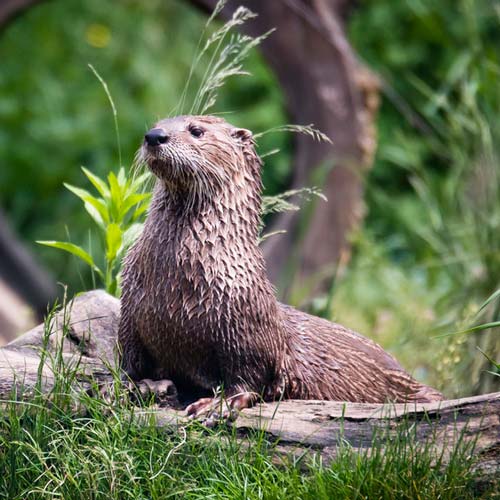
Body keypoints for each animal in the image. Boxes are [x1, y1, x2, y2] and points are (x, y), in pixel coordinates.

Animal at [119, 115, 444, 416]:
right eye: (158, 123)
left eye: (196, 130)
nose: (154, 136)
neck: (176, 281)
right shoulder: (130, 312)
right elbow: (130, 361)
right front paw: (132, 387)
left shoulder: (246, 327)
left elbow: (250, 377)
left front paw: (217, 405)